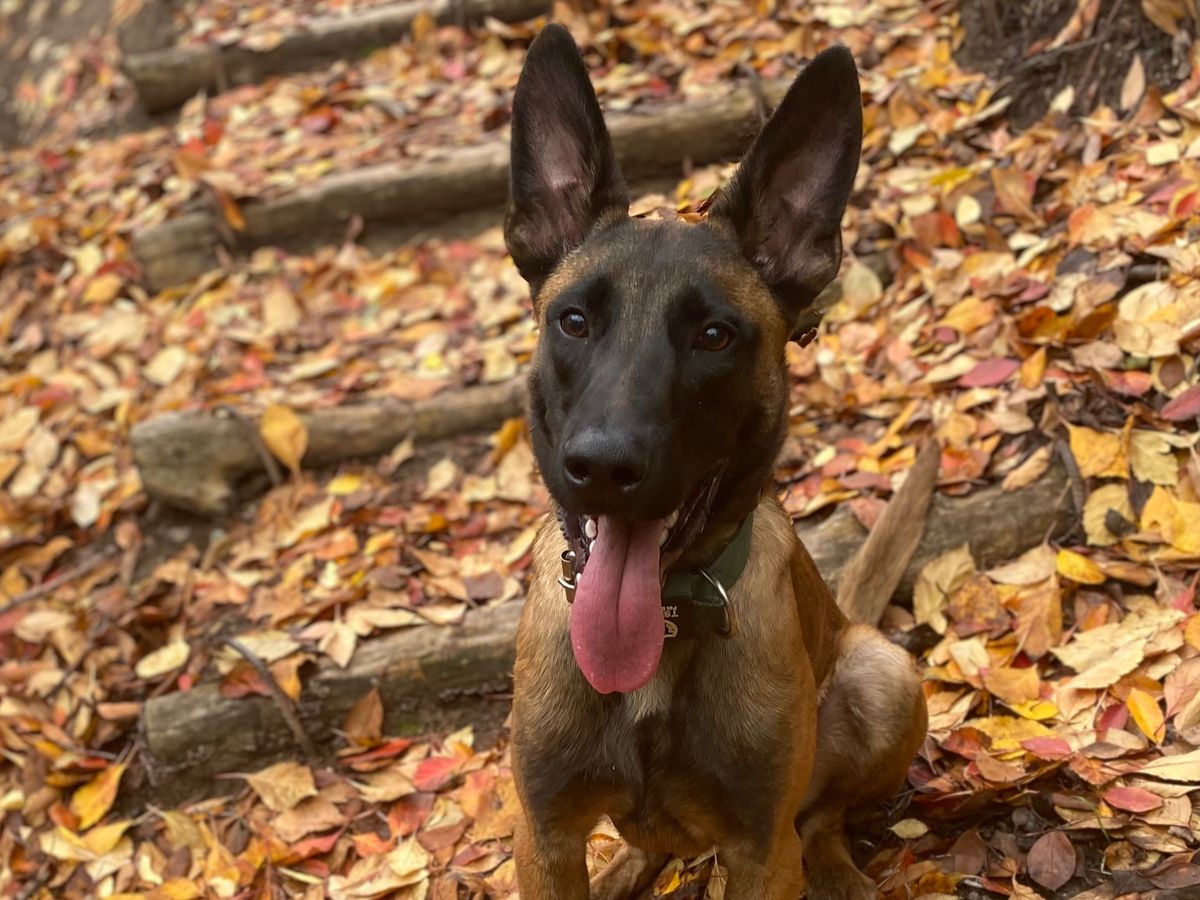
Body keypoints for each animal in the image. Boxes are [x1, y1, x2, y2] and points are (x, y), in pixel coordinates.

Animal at [503, 25, 927, 900]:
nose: (603, 468)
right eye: (573, 321)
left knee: (820, 818)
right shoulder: (546, 838)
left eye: (714, 336)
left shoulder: (759, 851)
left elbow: (788, 830)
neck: (660, 629)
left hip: (884, 679)